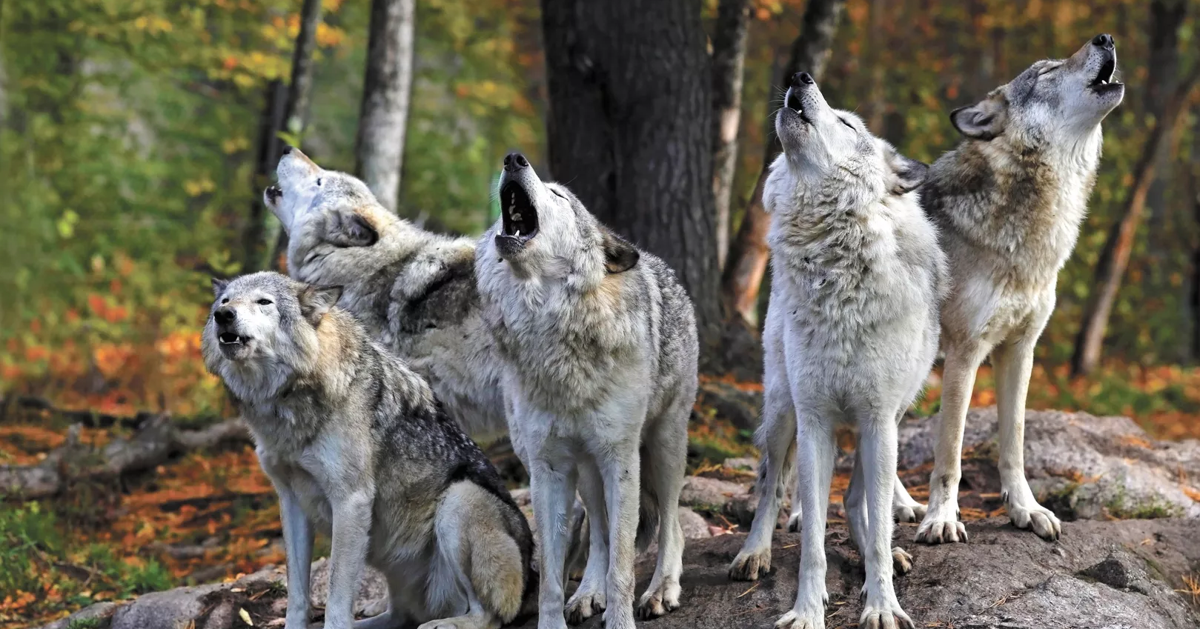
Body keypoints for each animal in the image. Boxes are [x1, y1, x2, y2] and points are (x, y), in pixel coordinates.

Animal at [202, 272, 534, 629]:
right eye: (226, 301)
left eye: (263, 301)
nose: (224, 315)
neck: (289, 402)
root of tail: (533, 581)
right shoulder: (291, 501)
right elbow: (298, 595)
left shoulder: (351, 500)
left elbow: (336, 598)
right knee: (399, 616)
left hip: (459, 501)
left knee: (488, 615)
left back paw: (445, 623)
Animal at [474, 152, 698, 629]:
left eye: (559, 195)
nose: (513, 158)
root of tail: (662, 266)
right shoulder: (548, 468)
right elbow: (553, 576)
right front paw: (561, 615)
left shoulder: (621, 459)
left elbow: (622, 567)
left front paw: (621, 619)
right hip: (586, 469)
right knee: (599, 531)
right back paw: (588, 594)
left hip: (664, 448)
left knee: (672, 525)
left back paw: (661, 590)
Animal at [730, 72, 946, 629]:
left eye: (848, 124)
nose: (799, 75)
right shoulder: (814, 422)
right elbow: (812, 538)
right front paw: (807, 610)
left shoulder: (877, 419)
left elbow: (875, 523)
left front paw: (882, 603)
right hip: (782, 411)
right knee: (771, 485)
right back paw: (754, 552)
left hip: (890, 423)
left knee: (857, 500)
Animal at [915, 34, 1125, 545]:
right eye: (1046, 71)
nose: (1105, 37)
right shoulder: (967, 352)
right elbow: (950, 452)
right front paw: (942, 518)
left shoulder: (1019, 349)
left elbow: (1014, 442)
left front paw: (1026, 511)